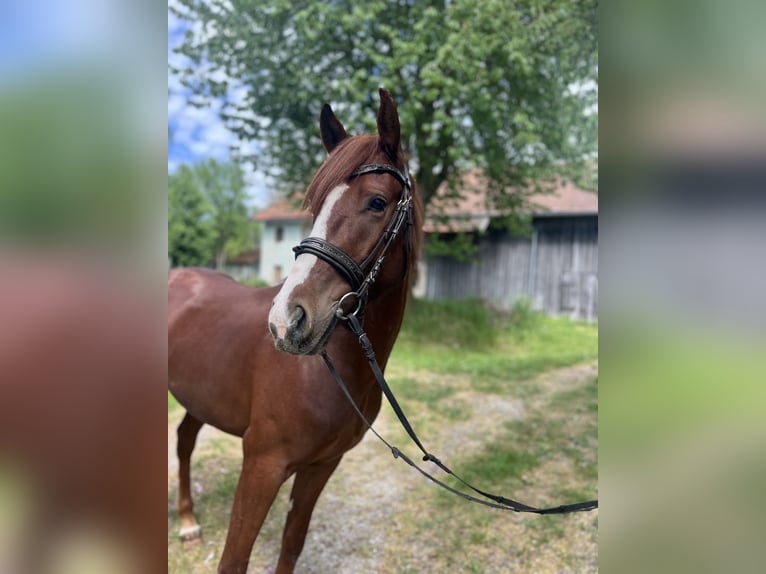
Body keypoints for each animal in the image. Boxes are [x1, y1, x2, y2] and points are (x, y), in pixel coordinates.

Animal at [168, 88, 423, 574]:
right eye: (316, 205)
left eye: (377, 203)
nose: (287, 321)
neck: (332, 371)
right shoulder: (263, 464)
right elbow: (234, 559)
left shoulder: (321, 466)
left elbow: (292, 542)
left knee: (185, 439)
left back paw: (188, 522)